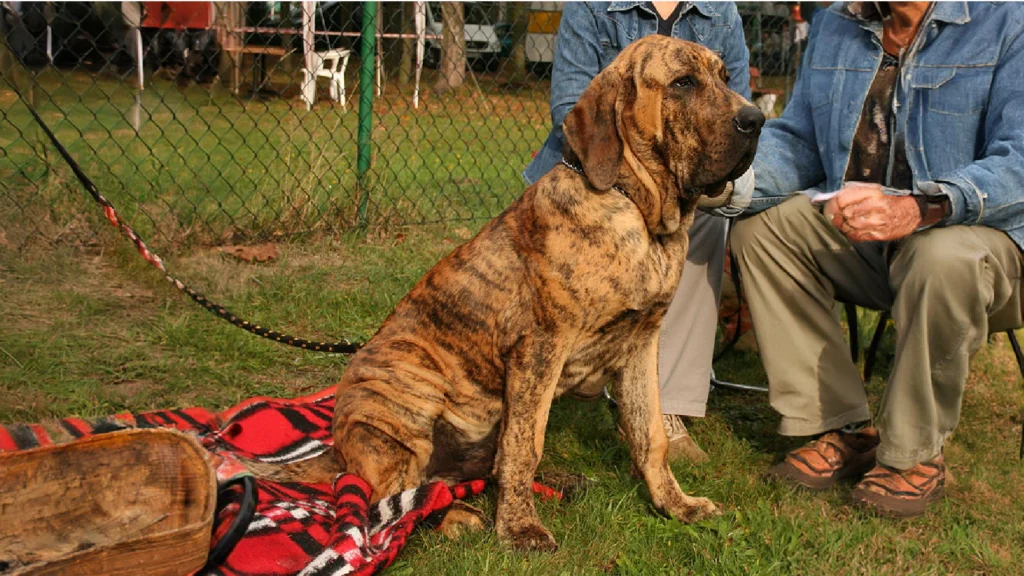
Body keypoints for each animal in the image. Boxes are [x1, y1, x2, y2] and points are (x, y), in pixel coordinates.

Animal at [260, 34, 765, 545]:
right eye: (683, 83)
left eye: (725, 77)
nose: (756, 121)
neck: (640, 215)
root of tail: (338, 448)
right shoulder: (539, 348)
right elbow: (526, 444)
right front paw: (520, 528)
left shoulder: (640, 344)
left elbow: (650, 436)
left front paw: (676, 504)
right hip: (405, 400)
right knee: (391, 500)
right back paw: (454, 516)